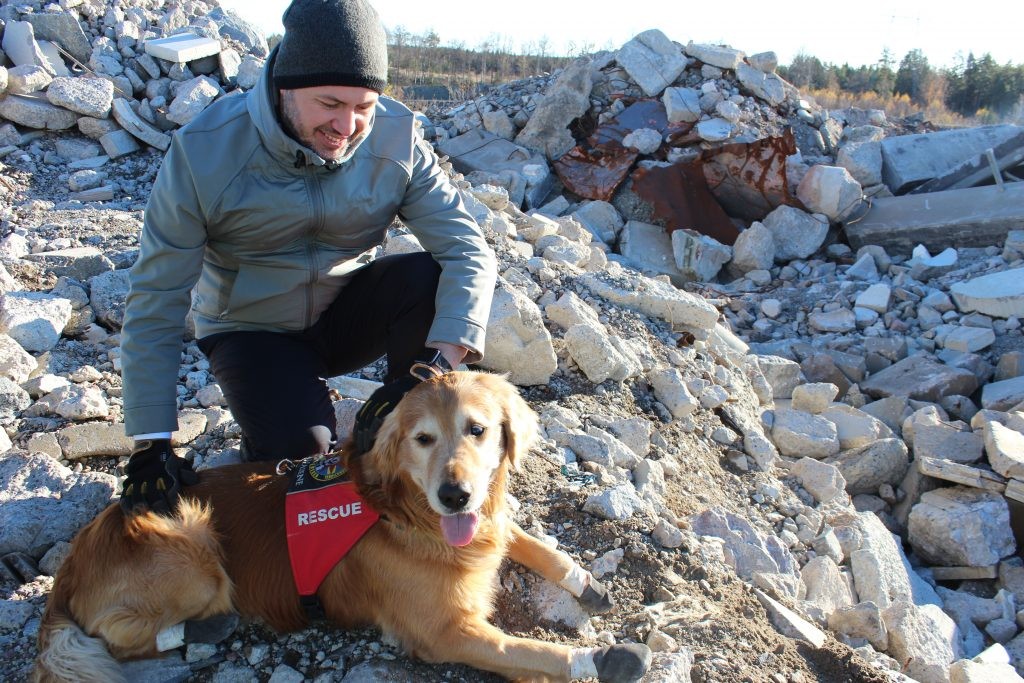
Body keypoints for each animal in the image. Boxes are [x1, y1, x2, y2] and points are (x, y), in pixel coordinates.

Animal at [39, 374, 651, 683]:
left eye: (477, 429)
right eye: (422, 438)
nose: (454, 495)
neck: (409, 514)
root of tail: (67, 571)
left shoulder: (487, 524)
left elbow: (531, 542)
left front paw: (584, 582)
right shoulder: (441, 634)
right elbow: (527, 649)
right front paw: (602, 660)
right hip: (193, 549)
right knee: (122, 638)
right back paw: (205, 631)